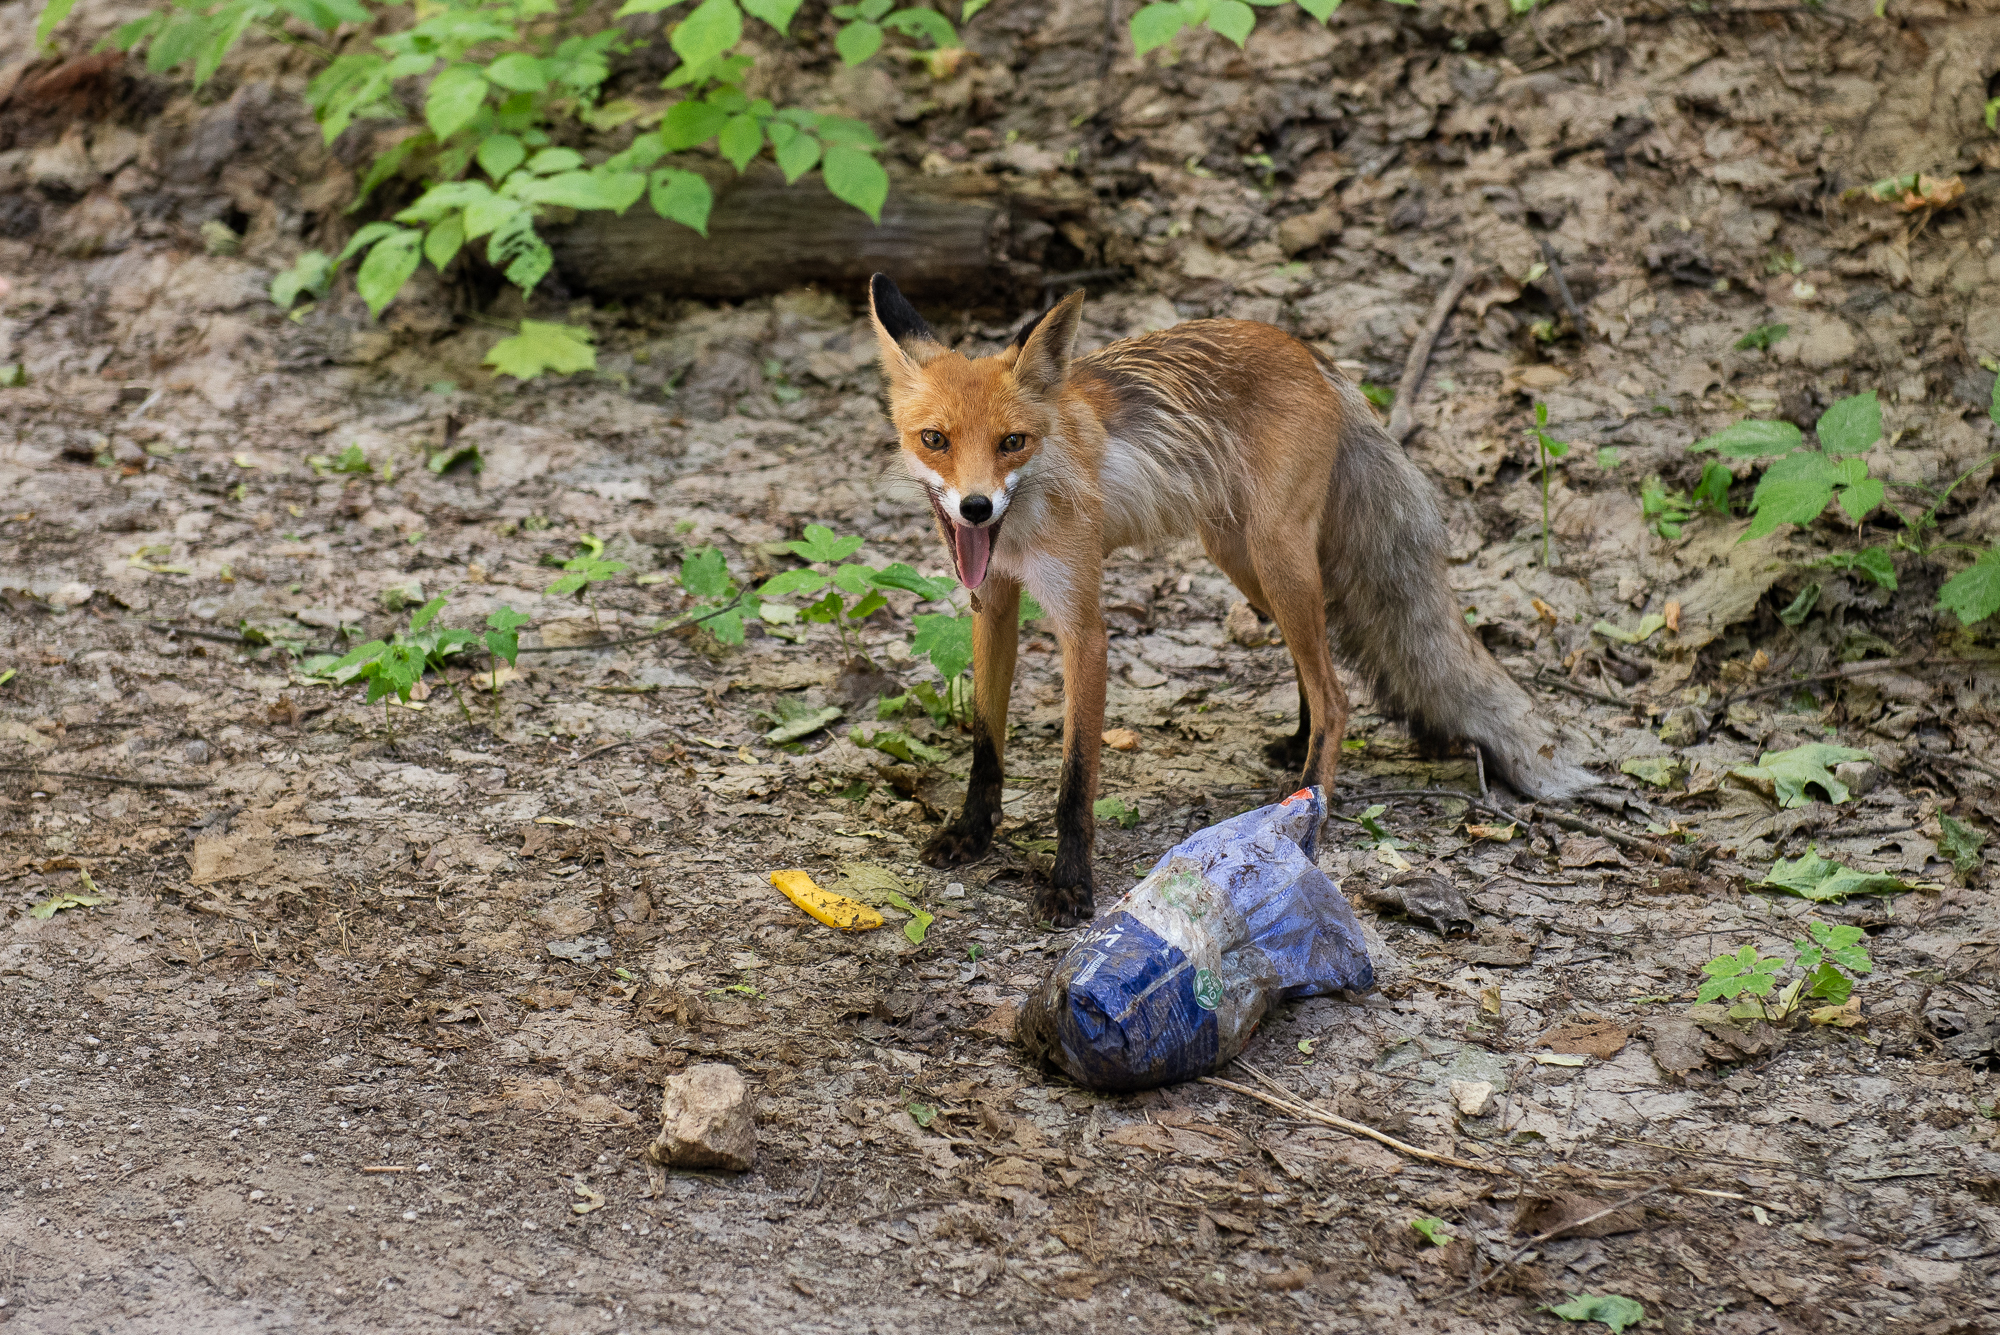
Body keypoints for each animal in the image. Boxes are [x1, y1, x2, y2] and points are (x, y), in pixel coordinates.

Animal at [868, 271, 1584, 927]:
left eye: (1012, 442)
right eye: (935, 439)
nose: (976, 507)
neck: (1021, 523)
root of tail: (1308, 351)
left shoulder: (1084, 628)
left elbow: (1075, 781)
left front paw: (1070, 885)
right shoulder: (992, 605)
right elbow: (986, 743)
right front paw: (972, 833)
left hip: (1275, 553)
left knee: (1337, 695)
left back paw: (1307, 809)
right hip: (1242, 559)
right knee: (1313, 661)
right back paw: (1295, 746)